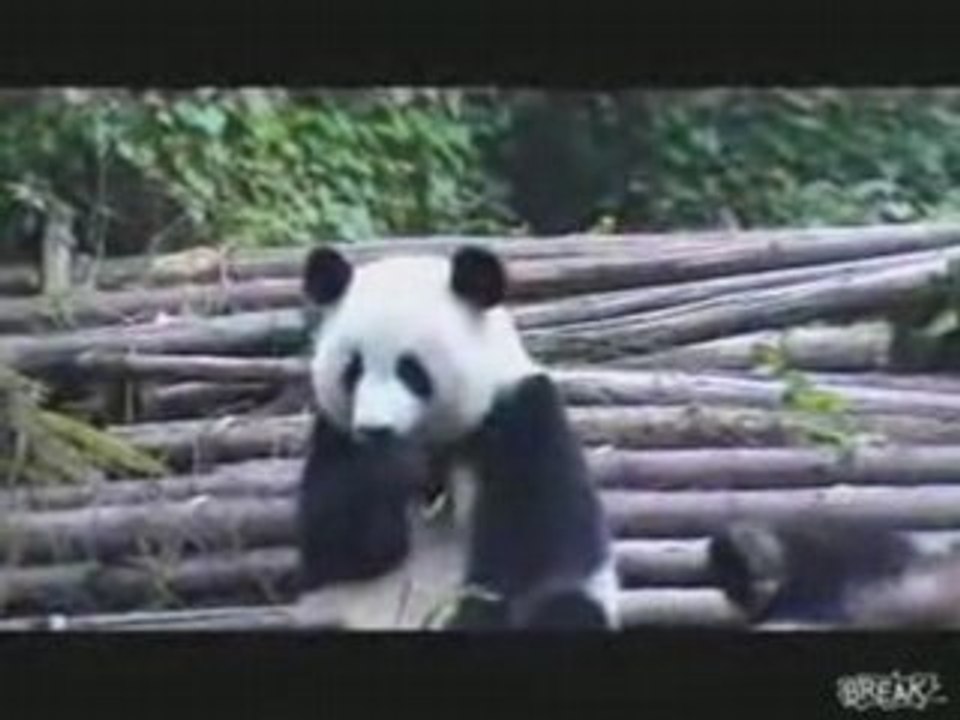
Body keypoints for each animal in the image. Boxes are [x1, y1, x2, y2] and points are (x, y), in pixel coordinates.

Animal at [292, 243, 619, 631]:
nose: (375, 429)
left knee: (567, 607)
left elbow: (535, 547)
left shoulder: (522, 417)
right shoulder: (336, 434)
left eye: (411, 370)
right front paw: (390, 466)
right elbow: (336, 547)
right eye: (353, 369)